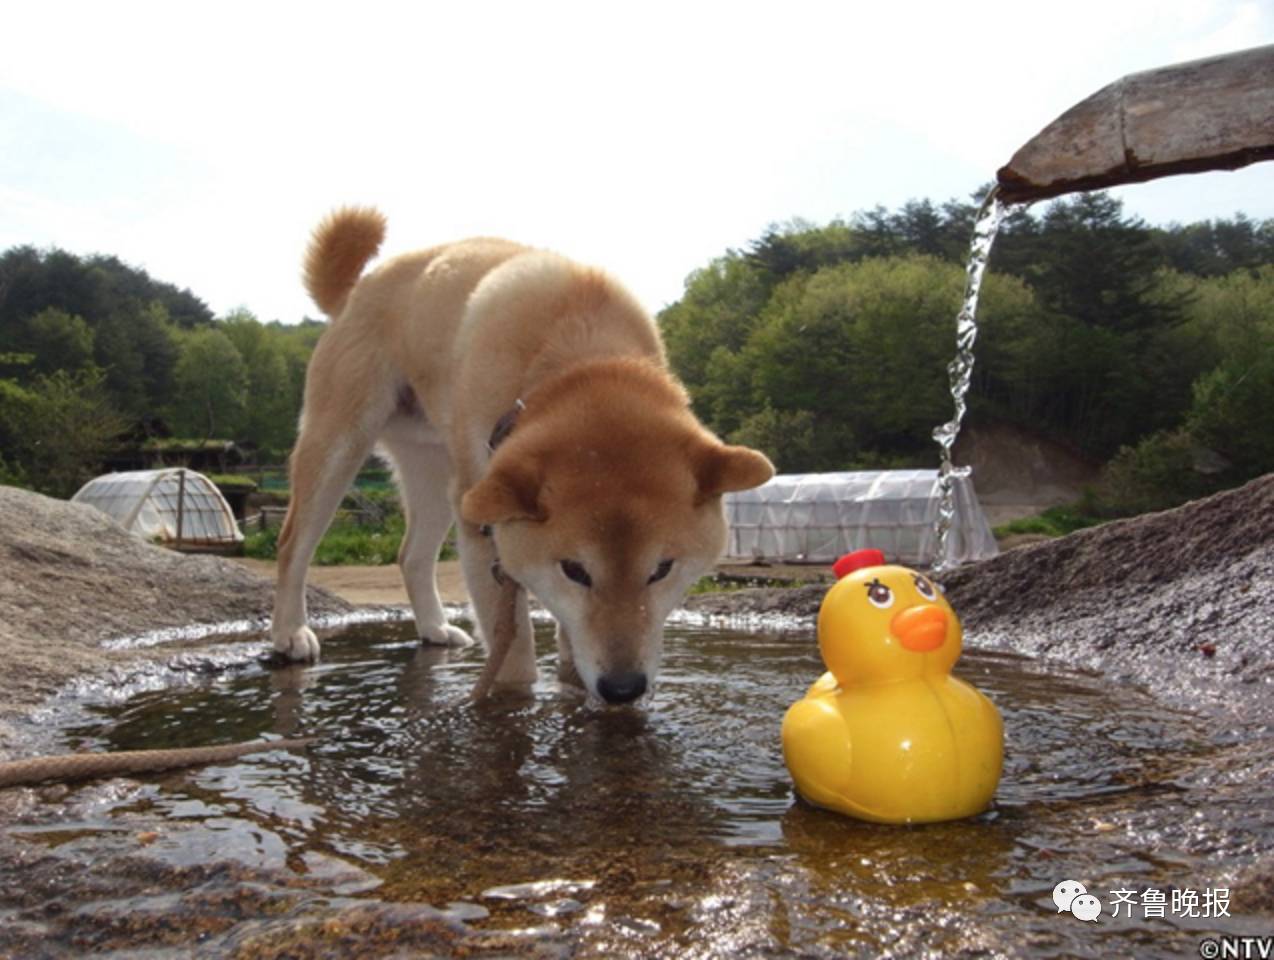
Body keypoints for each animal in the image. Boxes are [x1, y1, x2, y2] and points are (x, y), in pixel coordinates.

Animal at [272, 207, 769, 702]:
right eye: (574, 570)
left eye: (663, 569)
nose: (623, 688)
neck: (577, 356)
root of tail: (355, 289)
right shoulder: (485, 533)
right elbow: (514, 656)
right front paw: (514, 701)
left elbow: (569, 640)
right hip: (341, 446)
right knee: (292, 544)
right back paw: (290, 633)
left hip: (436, 472)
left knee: (411, 554)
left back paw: (434, 628)